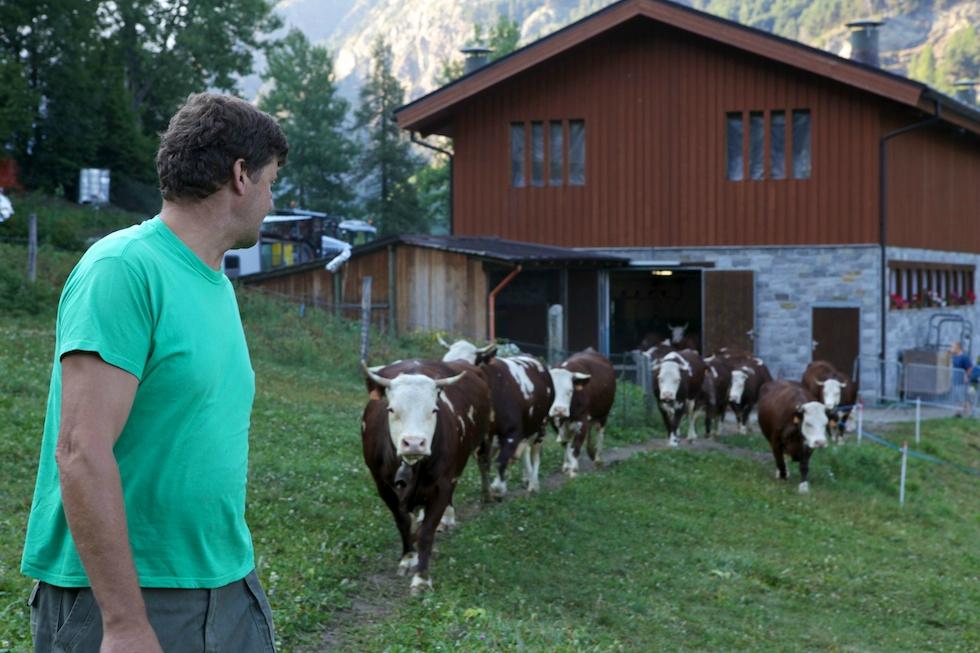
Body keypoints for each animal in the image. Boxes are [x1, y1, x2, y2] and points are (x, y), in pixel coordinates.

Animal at [361, 359, 492, 593]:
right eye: (391, 409)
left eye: (434, 410)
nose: (414, 443)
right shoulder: (383, 486)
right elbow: (403, 522)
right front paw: (408, 557)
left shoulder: (443, 485)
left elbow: (427, 532)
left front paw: (421, 577)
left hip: (483, 438)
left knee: (484, 463)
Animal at [440, 338, 555, 497]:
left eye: (467, 365)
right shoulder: (482, 439)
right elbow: (484, 463)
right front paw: (487, 492)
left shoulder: (512, 432)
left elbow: (501, 461)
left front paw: (498, 488)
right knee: (524, 452)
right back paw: (526, 478)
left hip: (541, 425)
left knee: (535, 453)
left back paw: (533, 484)